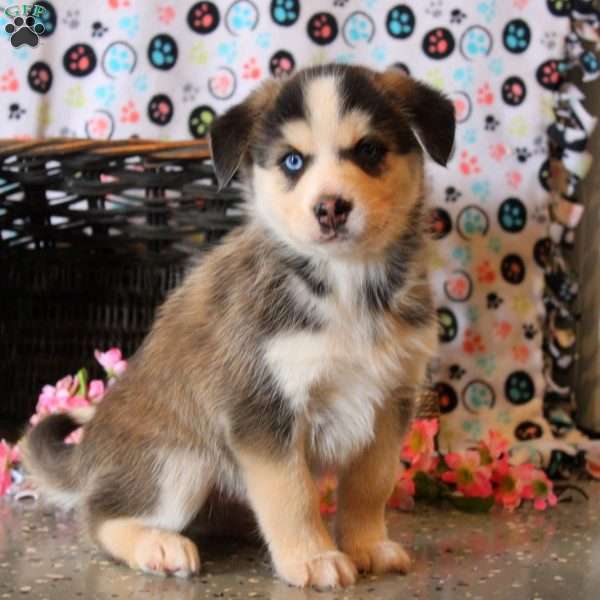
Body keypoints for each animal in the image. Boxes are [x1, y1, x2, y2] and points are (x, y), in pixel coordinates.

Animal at [23, 63, 454, 588]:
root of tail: (85, 456)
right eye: (292, 161)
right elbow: (292, 494)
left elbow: (370, 487)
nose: (331, 207)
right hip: (179, 464)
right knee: (100, 517)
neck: (345, 285)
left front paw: (366, 546)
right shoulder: (263, 410)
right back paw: (159, 546)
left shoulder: (390, 403)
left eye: (369, 150)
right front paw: (313, 558)